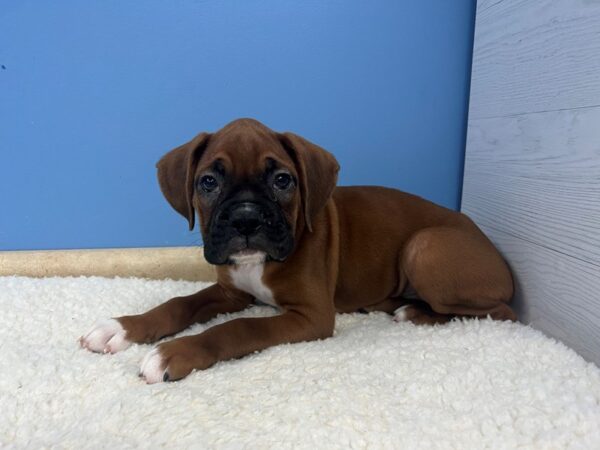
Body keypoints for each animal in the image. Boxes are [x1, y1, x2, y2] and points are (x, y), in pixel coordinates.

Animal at [79, 118, 512, 382]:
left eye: (283, 180)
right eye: (208, 182)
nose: (246, 219)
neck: (259, 264)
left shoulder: (311, 316)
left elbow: (238, 328)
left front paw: (174, 353)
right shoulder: (230, 292)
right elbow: (179, 304)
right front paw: (123, 327)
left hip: (424, 246)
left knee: (498, 313)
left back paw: (415, 313)